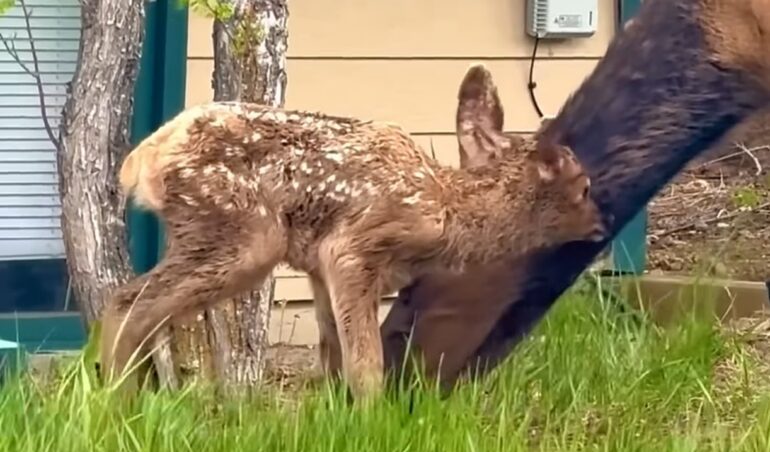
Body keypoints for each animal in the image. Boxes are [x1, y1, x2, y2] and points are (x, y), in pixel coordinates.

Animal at [100, 63, 608, 400]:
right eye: (583, 186)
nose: (601, 227)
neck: (447, 210)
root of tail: (143, 159)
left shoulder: (318, 268)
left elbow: (333, 358)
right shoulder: (352, 249)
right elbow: (366, 365)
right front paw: (370, 418)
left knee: (141, 308)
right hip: (242, 233)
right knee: (130, 303)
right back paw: (116, 402)